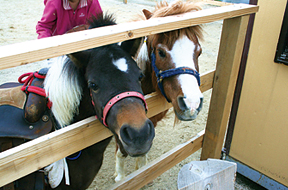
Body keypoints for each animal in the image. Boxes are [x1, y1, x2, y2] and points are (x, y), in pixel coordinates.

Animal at [113, 0, 204, 182]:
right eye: (161, 52)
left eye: (199, 52)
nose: (191, 104)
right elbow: (121, 150)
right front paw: (120, 176)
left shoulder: (150, 122)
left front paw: (141, 172)